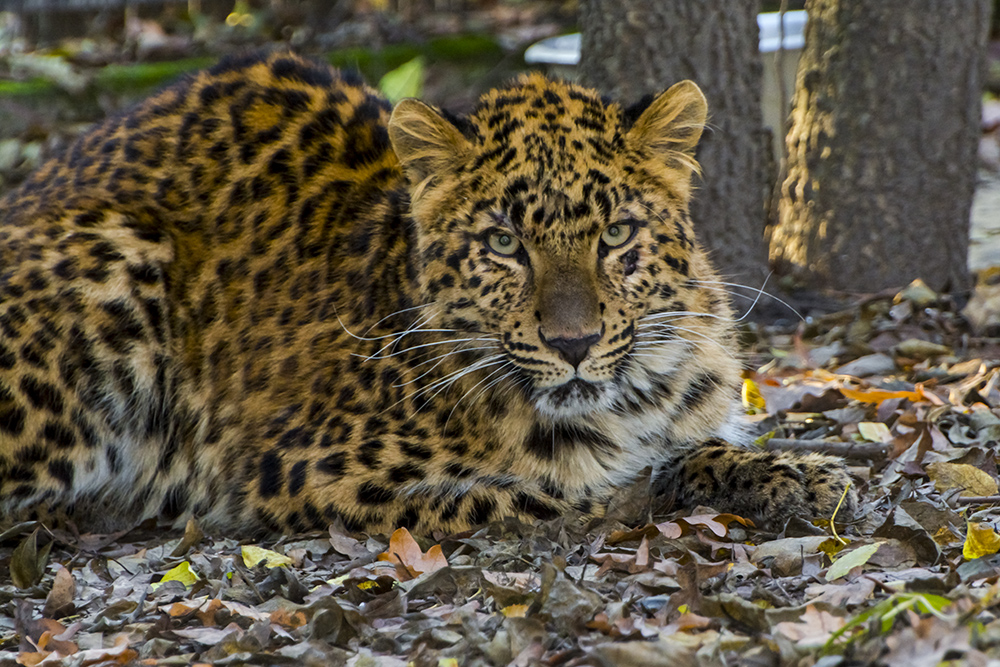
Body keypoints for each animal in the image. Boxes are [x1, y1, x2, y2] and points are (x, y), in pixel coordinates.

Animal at [0, 49, 856, 536]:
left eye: (615, 234)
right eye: (505, 244)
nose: (573, 344)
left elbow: (698, 445)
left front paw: (797, 472)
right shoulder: (292, 470)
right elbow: (537, 493)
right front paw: (629, 493)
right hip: (118, 263)